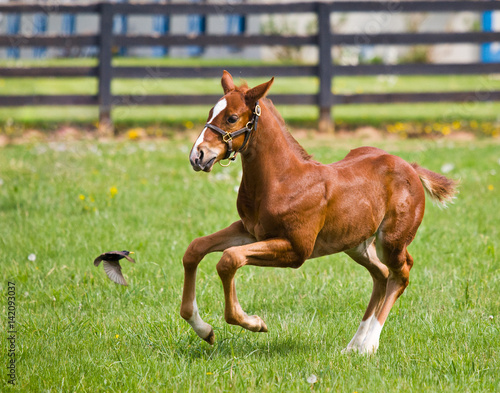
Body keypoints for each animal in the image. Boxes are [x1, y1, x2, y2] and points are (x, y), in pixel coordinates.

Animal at [181, 71, 458, 356]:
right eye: (211, 112)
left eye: (232, 118)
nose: (197, 156)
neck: (283, 179)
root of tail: (411, 167)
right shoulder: (249, 230)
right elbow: (195, 249)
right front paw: (203, 329)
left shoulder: (297, 249)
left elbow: (229, 259)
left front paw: (254, 322)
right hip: (357, 244)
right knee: (381, 274)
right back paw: (354, 345)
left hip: (391, 241)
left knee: (401, 274)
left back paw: (369, 344)